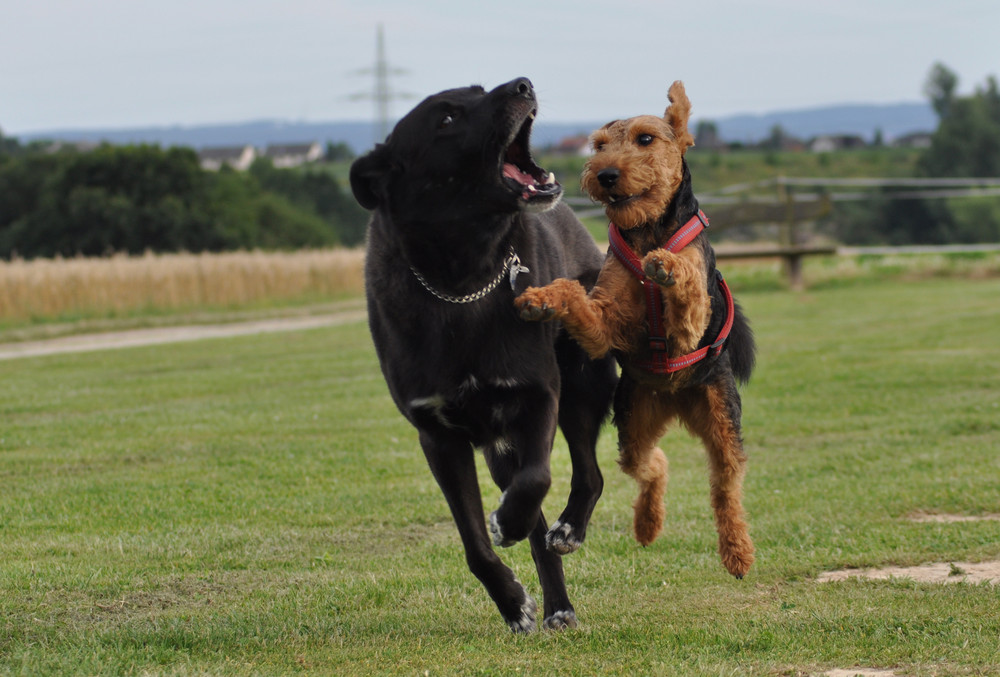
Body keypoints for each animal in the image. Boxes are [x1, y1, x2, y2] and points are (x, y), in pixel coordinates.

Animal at [352, 80, 616, 632]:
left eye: (477, 90)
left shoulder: (538, 396)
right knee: (539, 525)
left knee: (586, 476)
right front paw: (512, 601)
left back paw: (567, 539)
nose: (524, 85)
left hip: (581, 384)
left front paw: (507, 523)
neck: (463, 277)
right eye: (447, 119)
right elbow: (474, 542)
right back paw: (552, 601)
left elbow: (537, 479)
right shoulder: (439, 437)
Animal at [520, 79, 752, 576]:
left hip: (721, 422)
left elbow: (686, 288)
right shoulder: (607, 322)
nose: (606, 174)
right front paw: (540, 298)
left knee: (726, 489)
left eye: (646, 138)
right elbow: (575, 295)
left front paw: (666, 266)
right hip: (633, 428)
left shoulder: (689, 325)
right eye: (599, 145)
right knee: (655, 466)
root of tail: (675, 400)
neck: (646, 232)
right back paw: (647, 526)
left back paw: (738, 552)